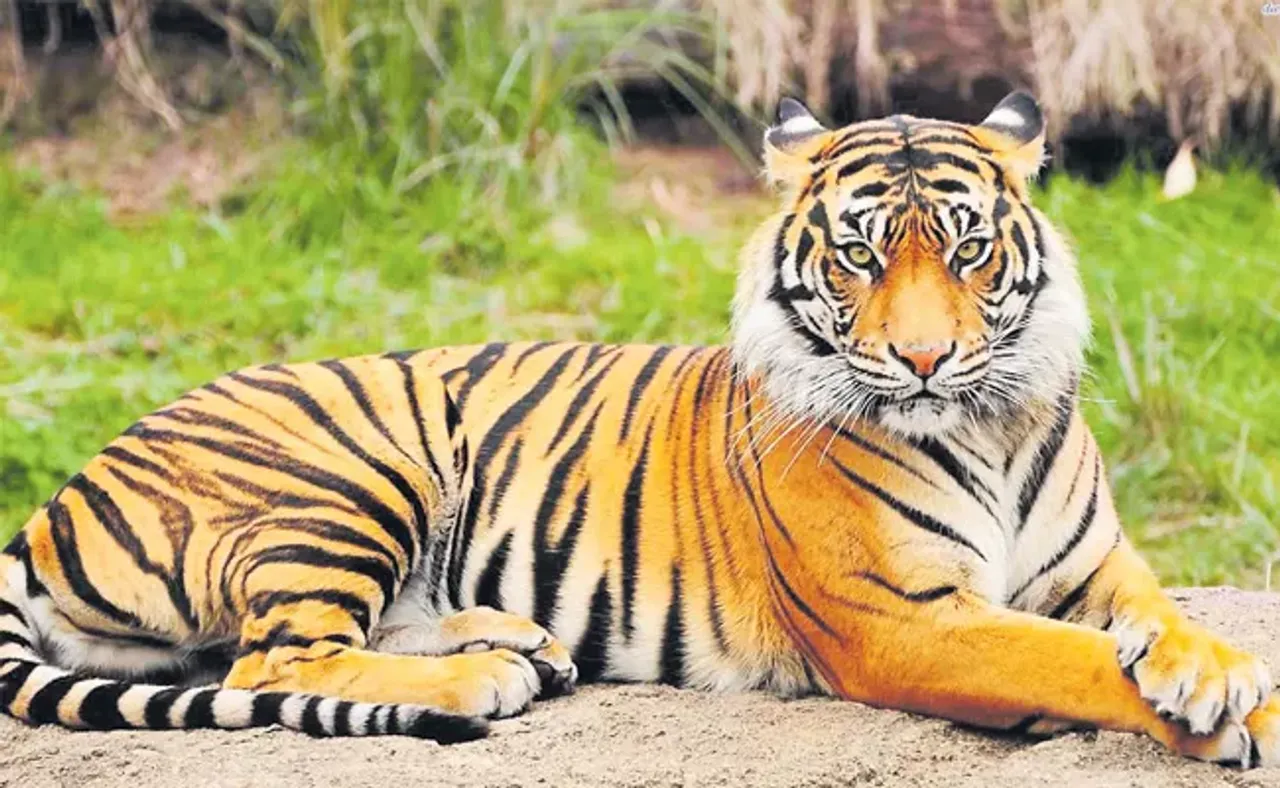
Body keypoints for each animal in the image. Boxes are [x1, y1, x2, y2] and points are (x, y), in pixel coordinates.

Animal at [1, 91, 1277, 765]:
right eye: (860, 255)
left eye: (964, 250)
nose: (922, 359)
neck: (992, 425)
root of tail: (59, 495)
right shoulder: (906, 620)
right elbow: (1067, 658)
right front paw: (1235, 713)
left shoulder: (1095, 565)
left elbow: (1157, 619)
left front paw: (1208, 668)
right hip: (355, 467)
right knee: (275, 653)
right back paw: (480, 681)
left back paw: (514, 640)